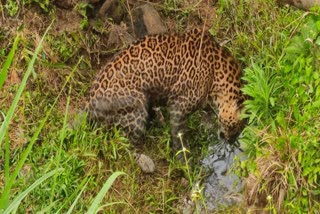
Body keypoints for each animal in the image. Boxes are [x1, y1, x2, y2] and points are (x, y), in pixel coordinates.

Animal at [84, 28, 246, 158]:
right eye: (235, 127)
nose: (231, 141)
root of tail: (88, 101)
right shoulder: (179, 106)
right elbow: (179, 136)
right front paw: (184, 161)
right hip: (135, 110)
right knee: (121, 143)